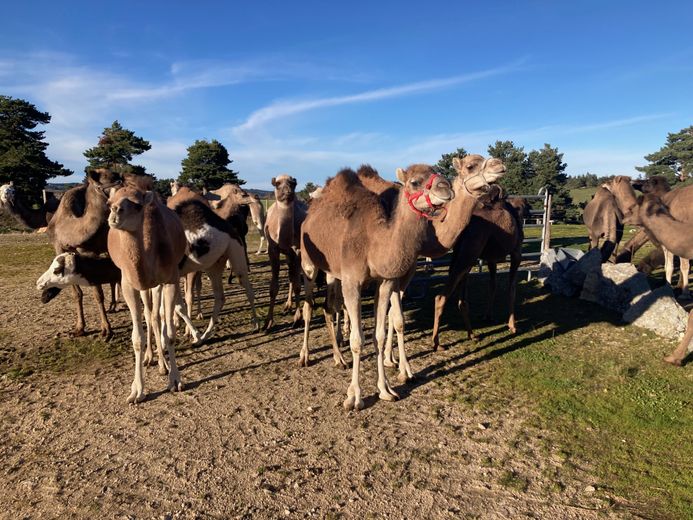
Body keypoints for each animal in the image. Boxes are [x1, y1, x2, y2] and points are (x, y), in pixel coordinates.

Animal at [45, 167, 122, 338]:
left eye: (120, 178)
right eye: (107, 181)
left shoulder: (92, 251)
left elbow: (98, 293)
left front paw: (106, 329)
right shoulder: (61, 249)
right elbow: (77, 293)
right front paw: (79, 328)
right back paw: (113, 305)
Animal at [166, 185, 258, 340]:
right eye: (243, 193)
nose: (255, 197)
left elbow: (185, 298)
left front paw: (188, 331)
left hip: (233, 254)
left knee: (245, 285)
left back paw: (257, 324)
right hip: (213, 265)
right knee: (220, 296)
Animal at [262, 175, 306, 330]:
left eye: (293, 183)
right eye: (277, 184)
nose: (288, 193)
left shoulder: (297, 250)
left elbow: (298, 284)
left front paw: (298, 318)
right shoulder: (273, 249)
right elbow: (273, 287)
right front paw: (267, 322)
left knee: (296, 275)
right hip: (287, 254)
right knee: (291, 275)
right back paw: (287, 305)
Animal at [300, 164, 456, 410]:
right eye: (414, 182)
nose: (446, 187)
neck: (374, 244)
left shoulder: (385, 282)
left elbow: (379, 337)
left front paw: (386, 390)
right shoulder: (352, 281)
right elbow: (357, 340)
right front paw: (354, 397)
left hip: (332, 272)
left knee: (329, 307)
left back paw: (338, 358)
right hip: (308, 263)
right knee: (308, 306)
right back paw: (304, 356)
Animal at [430, 186, 520, 350]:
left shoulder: (491, 258)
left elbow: (493, 285)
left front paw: (488, 316)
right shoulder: (517, 252)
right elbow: (511, 289)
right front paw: (512, 326)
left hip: (463, 255)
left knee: (462, 299)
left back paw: (472, 334)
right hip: (469, 254)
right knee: (441, 296)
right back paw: (437, 343)